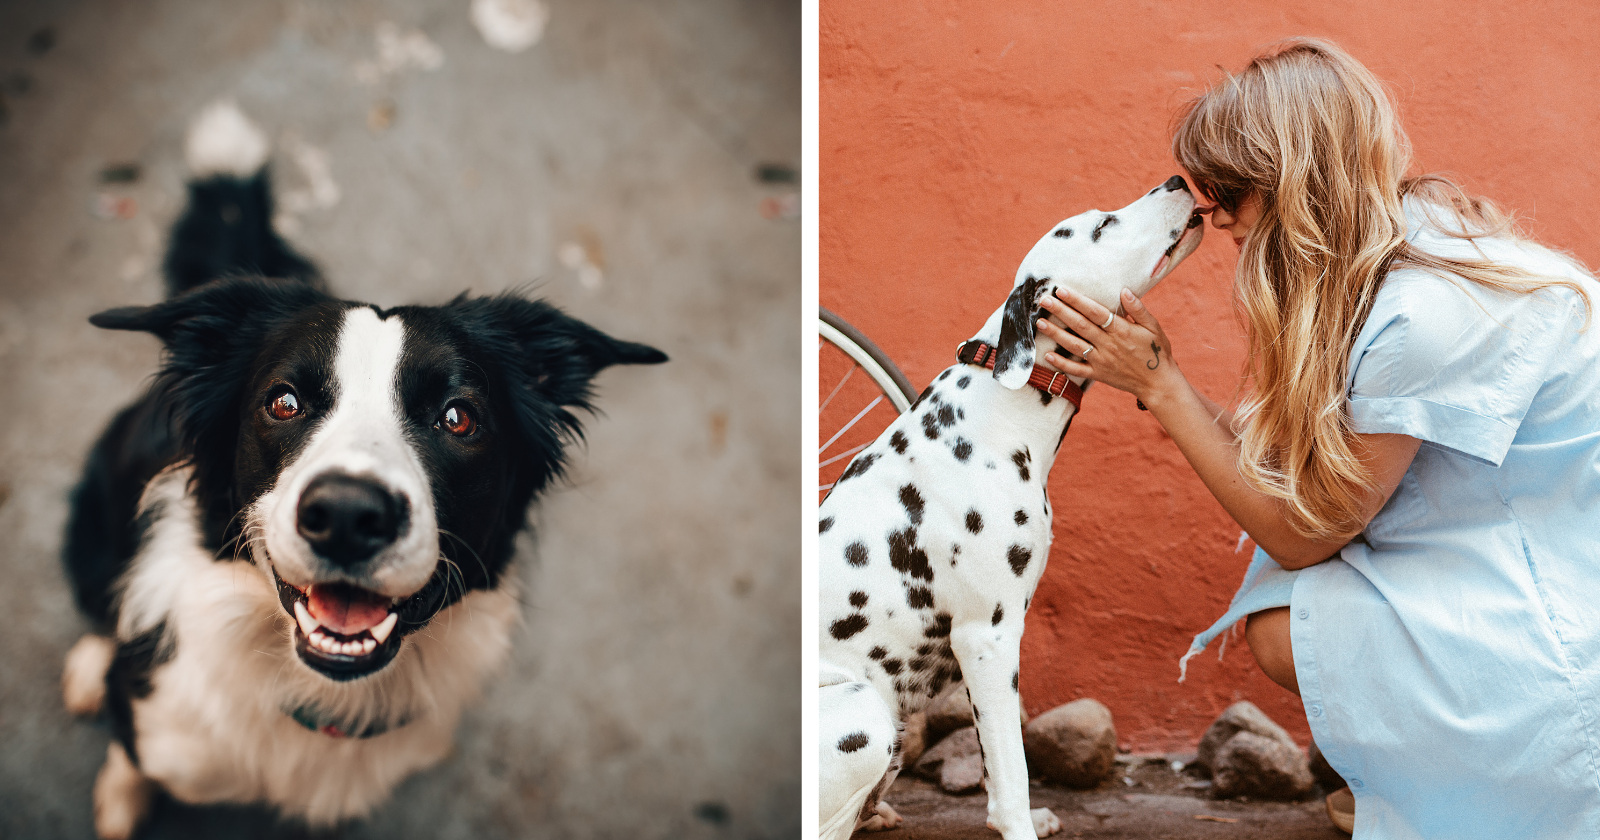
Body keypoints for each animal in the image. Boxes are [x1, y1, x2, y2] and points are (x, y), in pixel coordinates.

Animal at [56, 101, 656, 832]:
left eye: (458, 417)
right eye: (283, 402)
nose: (347, 515)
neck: (324, 694)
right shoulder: (157, 723)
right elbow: (130, 753)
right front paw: (121, 799)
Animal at [825, 176, 1203, 838]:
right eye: (1102, 225)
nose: (1178, 179)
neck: (998, 409)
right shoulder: (988, 637)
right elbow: (1012, 775)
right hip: (862, 710)